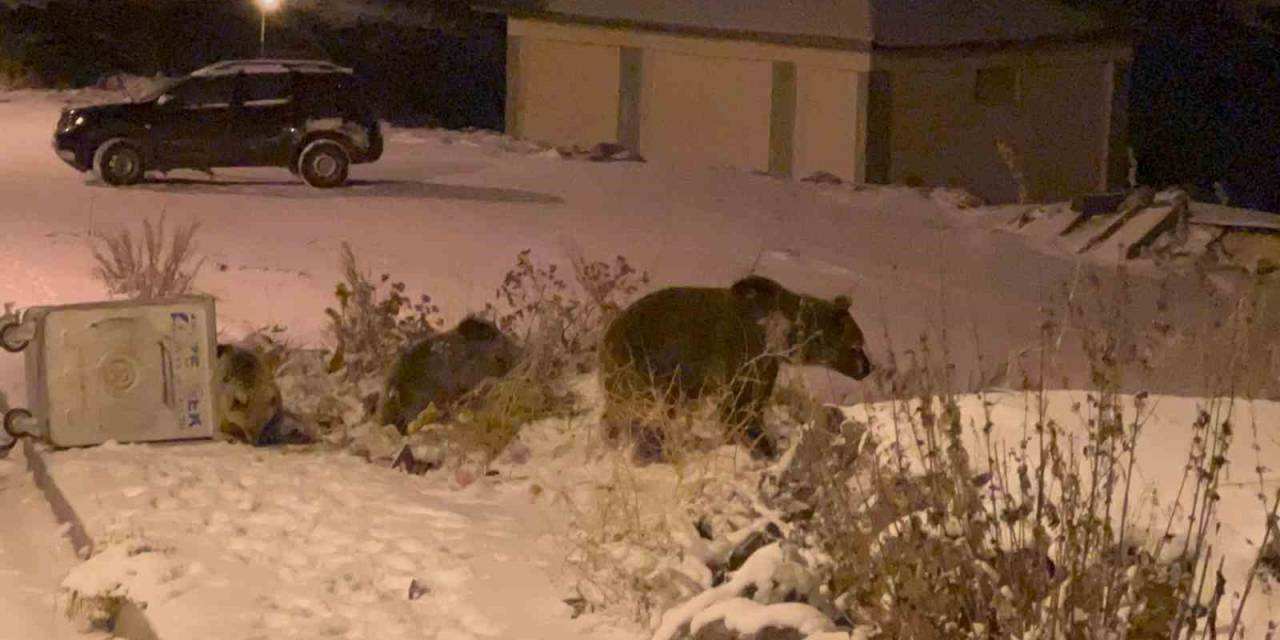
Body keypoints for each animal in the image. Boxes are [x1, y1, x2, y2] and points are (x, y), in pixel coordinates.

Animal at [596, 275, 870, 460]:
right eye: (856, 346)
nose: (867, 368)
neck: (783, 339)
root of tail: (610, 332)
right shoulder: (746, 360)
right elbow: (740, 409)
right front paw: (760, 448)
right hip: (645, 365)